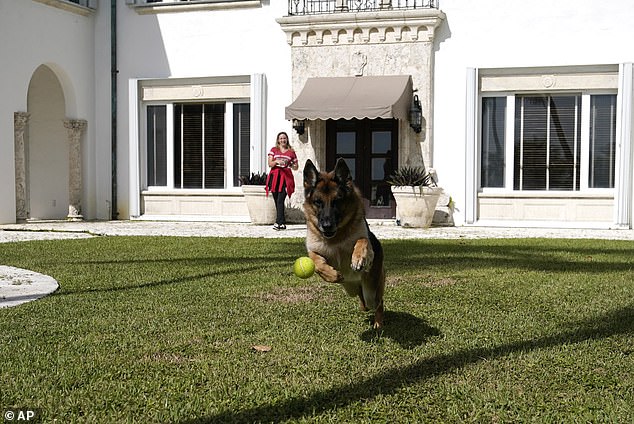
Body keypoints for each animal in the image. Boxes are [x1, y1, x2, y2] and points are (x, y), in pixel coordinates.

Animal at [302, 159, 386, 328]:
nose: (327, 226)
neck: (336, 238)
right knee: (364, 302)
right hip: (352, 290)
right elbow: (316, 262)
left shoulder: (367, 243)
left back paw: (378, 322)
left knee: (378, 302)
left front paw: (358, 259)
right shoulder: (313, 250)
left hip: (372, 291)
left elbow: (362, 240)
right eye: (318, 202)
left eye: (337, 201)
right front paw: (332, 274)